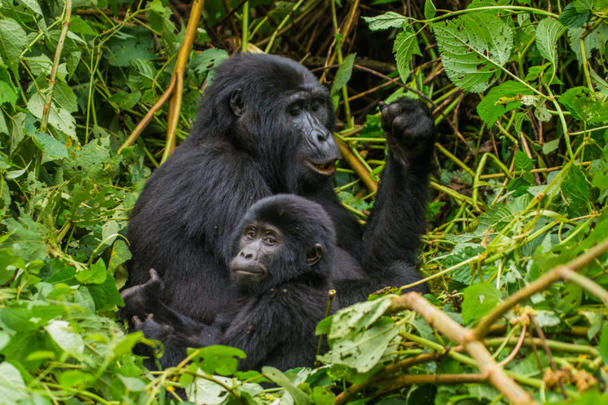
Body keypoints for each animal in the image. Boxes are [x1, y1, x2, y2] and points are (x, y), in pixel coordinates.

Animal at [120, 195, 334, 370]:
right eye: (251, 234)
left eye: (270, 240)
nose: (246, 254)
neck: (304, 277)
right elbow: (213, 337)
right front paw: (142, 300)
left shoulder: (284, 300)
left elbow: (226, 363)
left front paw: (152, 334)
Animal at [126, 52, 434, 322]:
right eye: (295, 111)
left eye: (316, 107)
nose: (322, 136)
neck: (239, 143)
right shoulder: (224, 174)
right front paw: (401, 280)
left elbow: (371, 256)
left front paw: (409, 137)